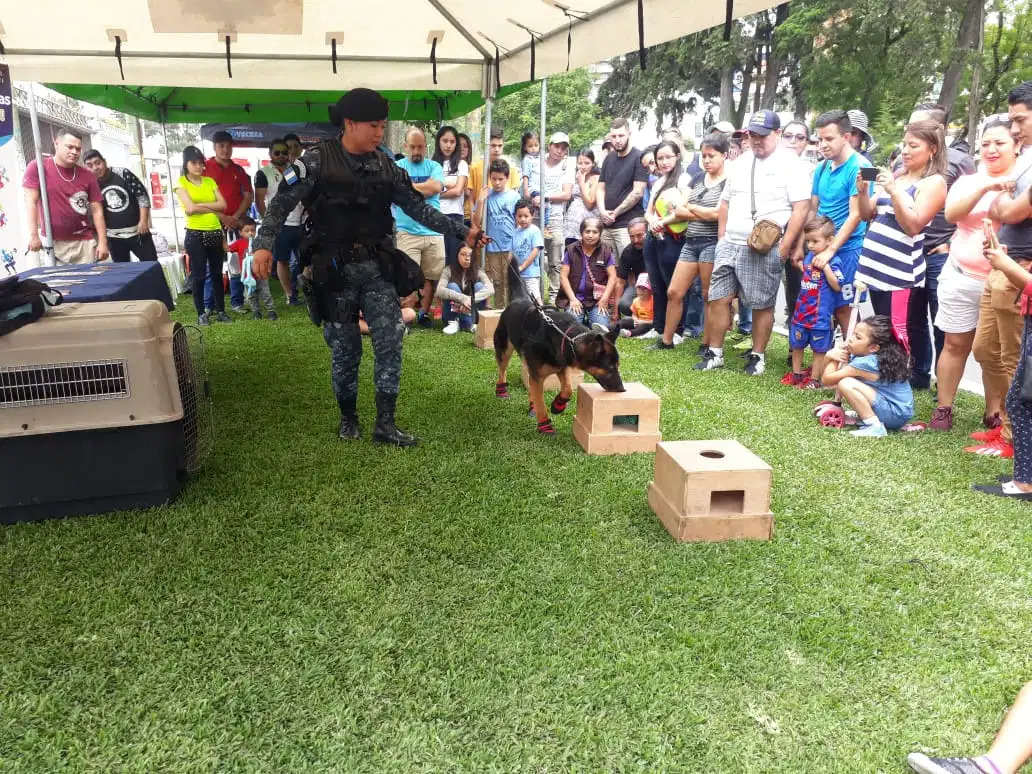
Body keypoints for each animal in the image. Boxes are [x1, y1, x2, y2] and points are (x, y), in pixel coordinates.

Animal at [495, 258, 623, 433]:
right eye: (610, 368)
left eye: (617, 366)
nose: (623, 390)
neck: (568, 337)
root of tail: (518, 300)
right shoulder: (538, 377)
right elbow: (541, 402)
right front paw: (545, 425)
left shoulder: (561, 369)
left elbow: (568, 389)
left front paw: (558, 405)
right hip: (504, 350)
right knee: (502, 370)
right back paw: (501, 391)